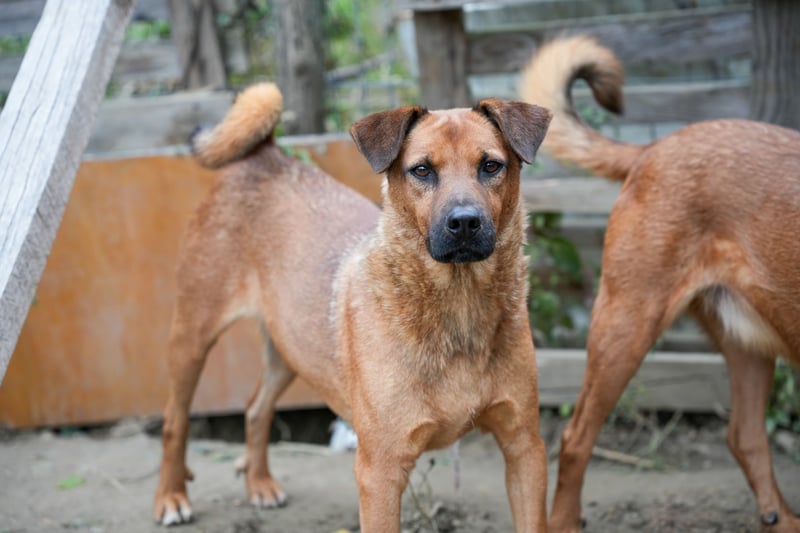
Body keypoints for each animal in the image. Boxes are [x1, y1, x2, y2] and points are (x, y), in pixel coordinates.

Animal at [152, 82, 553, 531]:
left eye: (490, 166)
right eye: (422, 170)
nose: (464, 222)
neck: (458, 307)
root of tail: (266, 155)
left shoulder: (525, 448)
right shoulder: (380, 472)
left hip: (290, 347)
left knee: (256, 407)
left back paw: (259, 483)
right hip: (192, 337)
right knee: (174, 421)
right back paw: (171, 498)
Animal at [519, 36, 800, 533]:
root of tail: (652, 147)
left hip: (748, 343)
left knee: (744, 436)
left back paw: (781, 519)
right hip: (625, 328)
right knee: (575, 437)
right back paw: (565, 520)